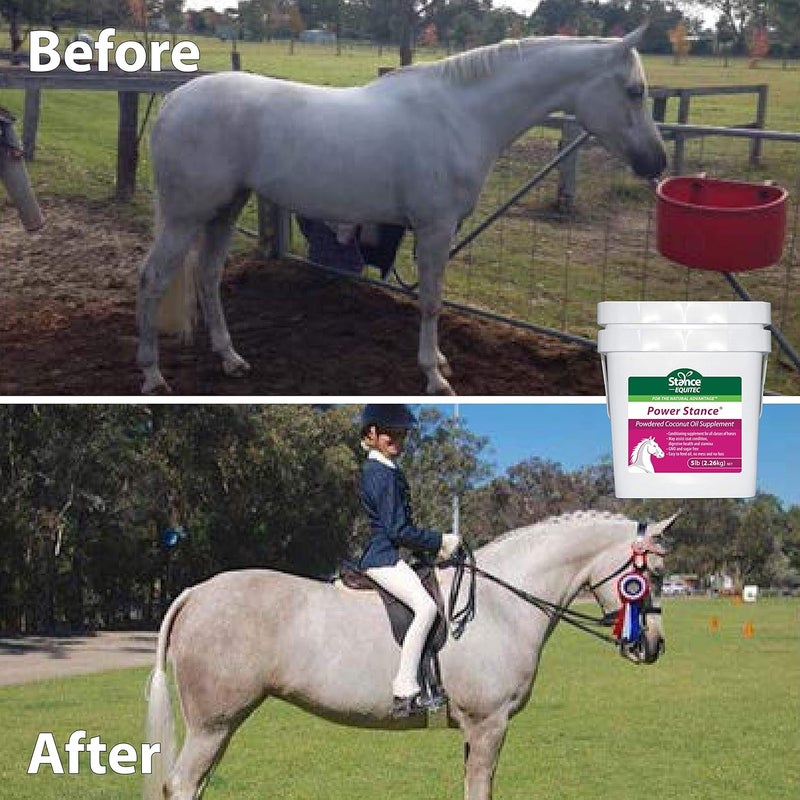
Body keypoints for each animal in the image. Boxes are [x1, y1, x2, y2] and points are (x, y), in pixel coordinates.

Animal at [136, 26, 666, 394]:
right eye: (635, 91)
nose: (656, 163)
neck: (461, 115)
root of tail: (174, 101)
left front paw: (440, 362)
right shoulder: (434, 229)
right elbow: (431, 301)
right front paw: (434, 375)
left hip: (225, 209)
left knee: (207, 276)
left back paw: (230, 358)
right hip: (186, 216)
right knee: (154, 280)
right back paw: (153, 376)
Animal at [143, 511, 676, 800]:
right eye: (650, 574)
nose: (652, 645)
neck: (501, 603)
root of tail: (196, 592)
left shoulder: (476, 730)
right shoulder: (489, 725)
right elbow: (481, 789)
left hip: (221, 726)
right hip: (213, 726)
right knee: (183, 785)